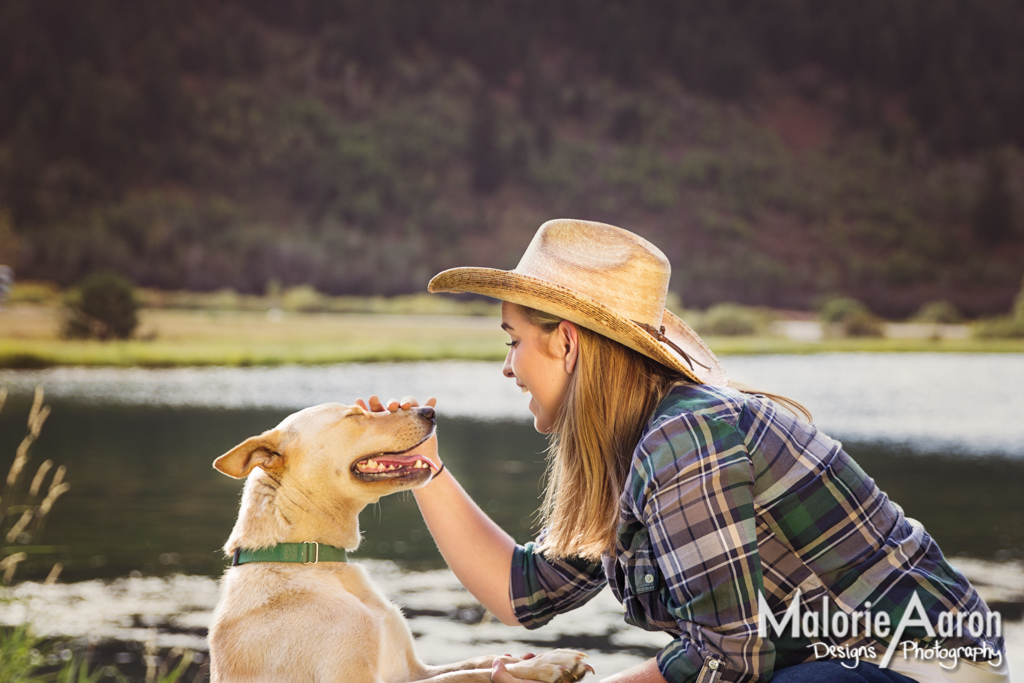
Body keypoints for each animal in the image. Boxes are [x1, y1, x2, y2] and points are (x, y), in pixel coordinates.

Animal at [208, 405, 593, 683]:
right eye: (355, 416)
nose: (429, 411)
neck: (317, 561)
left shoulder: (410, 668)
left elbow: (474, 661)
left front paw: (536, 660)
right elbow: (469, 673)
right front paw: (546, 664)